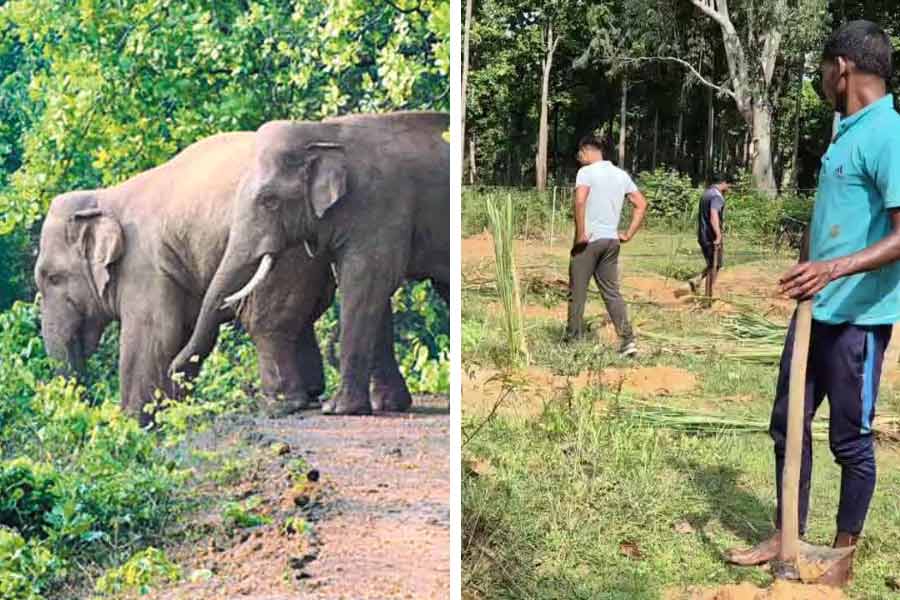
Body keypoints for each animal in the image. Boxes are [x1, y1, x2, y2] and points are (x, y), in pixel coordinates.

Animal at [34, 132, 338, 422]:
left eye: (53, 278)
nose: (86, 407)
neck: (105, 198)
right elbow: (182, 331)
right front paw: (172, 411)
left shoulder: (144, 264)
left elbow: (154, 333)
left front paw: (134, 424)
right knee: (304, 315)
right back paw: (311, 394)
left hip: (282, 247)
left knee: (265, 322)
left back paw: (281, 405)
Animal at [170, 110, 450, 414]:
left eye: (269, 201)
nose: (173, 371)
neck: (323, 134)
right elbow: (372, 292)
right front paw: (388, 406)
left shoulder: (379, 206)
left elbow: (365, 284)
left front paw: (338, 409)